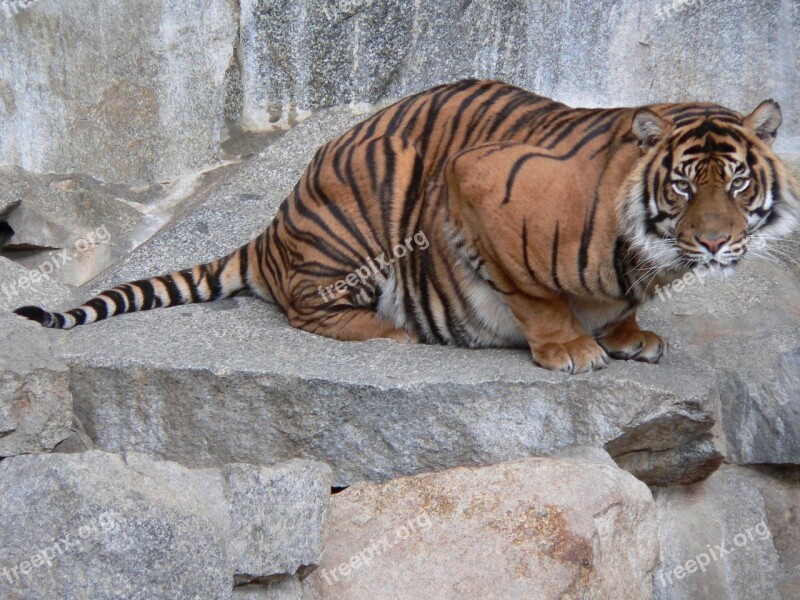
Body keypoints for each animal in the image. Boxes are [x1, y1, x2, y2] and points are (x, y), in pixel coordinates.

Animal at [14, 78, 800, 370]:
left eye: (737, 182)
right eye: (682, 185)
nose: (715, 241)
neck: (650, 256)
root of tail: (271, 229)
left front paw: (630, 334)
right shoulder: (475, 182)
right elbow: (535, 295)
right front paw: (572, 348)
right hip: (385, 175)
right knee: (306, 307)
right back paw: (389, 329)